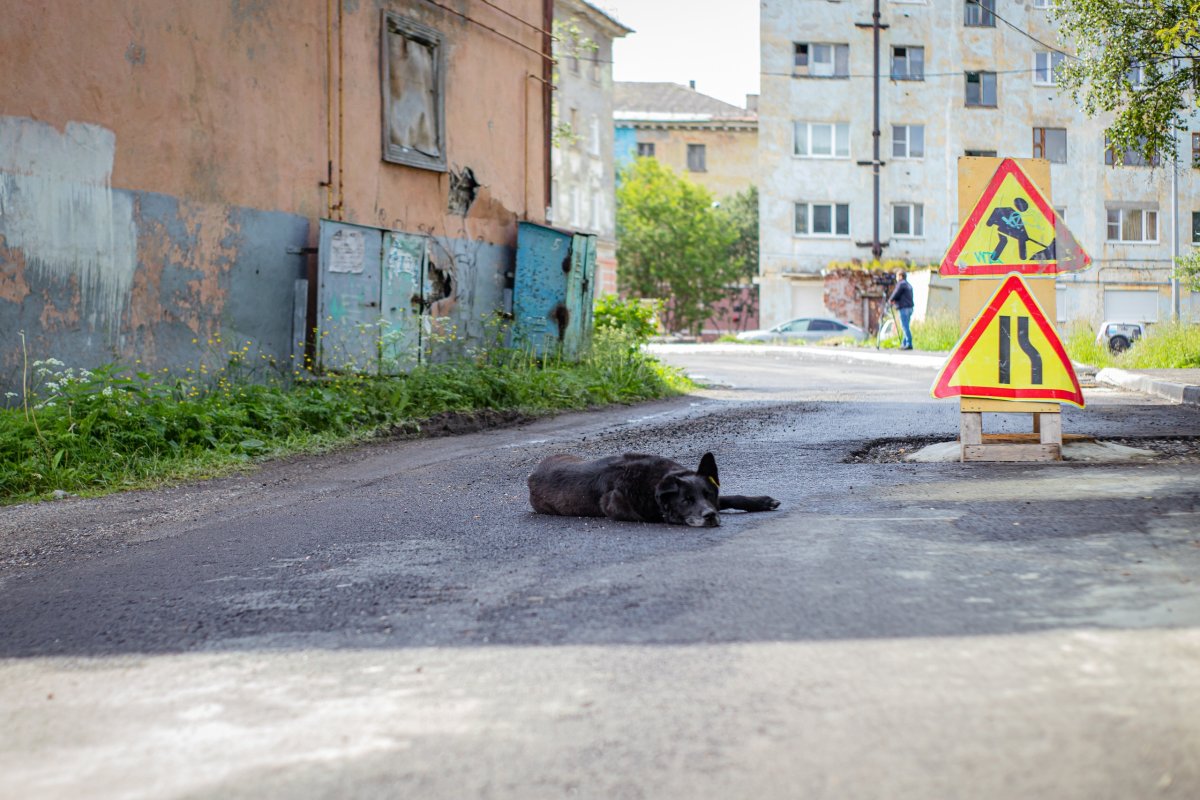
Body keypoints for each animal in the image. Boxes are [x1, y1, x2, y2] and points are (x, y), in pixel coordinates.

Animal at [527, 452, 780, 527]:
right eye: (686, 500)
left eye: (708, 494)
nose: (710, 516)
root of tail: (532, 473)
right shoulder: (615, 505)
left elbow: (731, 498)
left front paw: (762, 501)